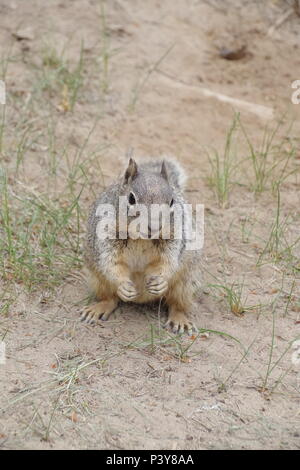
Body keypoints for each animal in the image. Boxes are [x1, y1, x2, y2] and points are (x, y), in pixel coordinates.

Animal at [81, 157, 202, 334]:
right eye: (131, 199)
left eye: (172, 201)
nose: (155, 227)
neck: (141, 238)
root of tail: (141, 299)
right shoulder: (106, 236)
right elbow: (111, 263)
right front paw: (123, 285)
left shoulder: (175, 238)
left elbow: (169, 262)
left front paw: (160, 281)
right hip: (98, 280)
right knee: (110, 298)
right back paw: (98, 308)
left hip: (186, 284)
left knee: (177, 304)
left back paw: (179, 319)